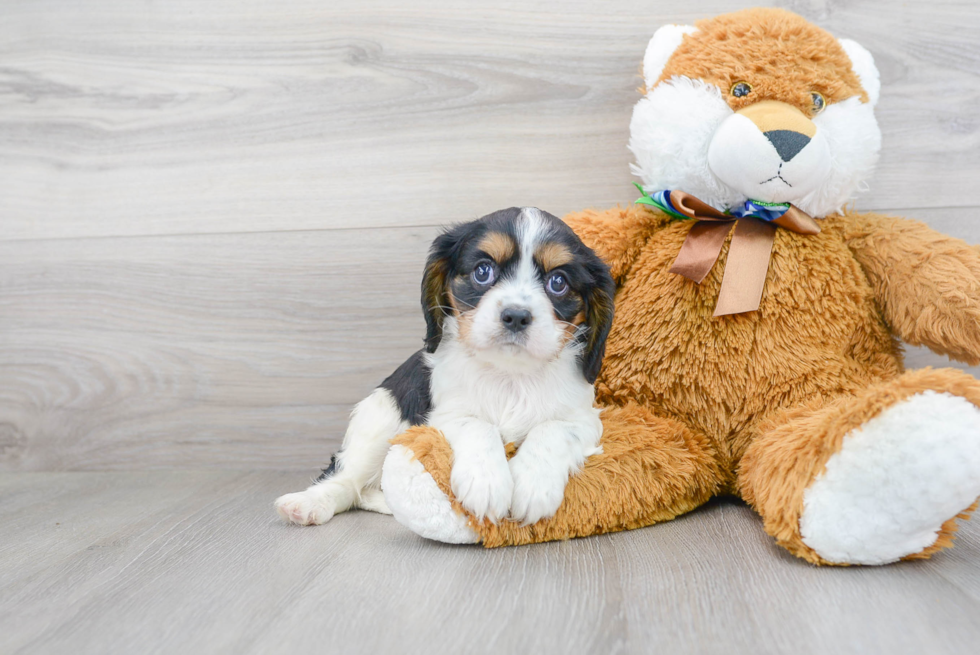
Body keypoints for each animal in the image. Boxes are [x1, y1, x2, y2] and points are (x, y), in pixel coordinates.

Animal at [276, 208, 612, 532]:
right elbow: (477, 424)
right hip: (379, 419)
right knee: (345, 476)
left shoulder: (583, 418)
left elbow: (553, 429)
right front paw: (487, 482)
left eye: (558, 282)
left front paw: (533, 484)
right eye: (482, 272)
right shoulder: (443, 414)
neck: (510, 374)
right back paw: (309, 503)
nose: (516, 315)